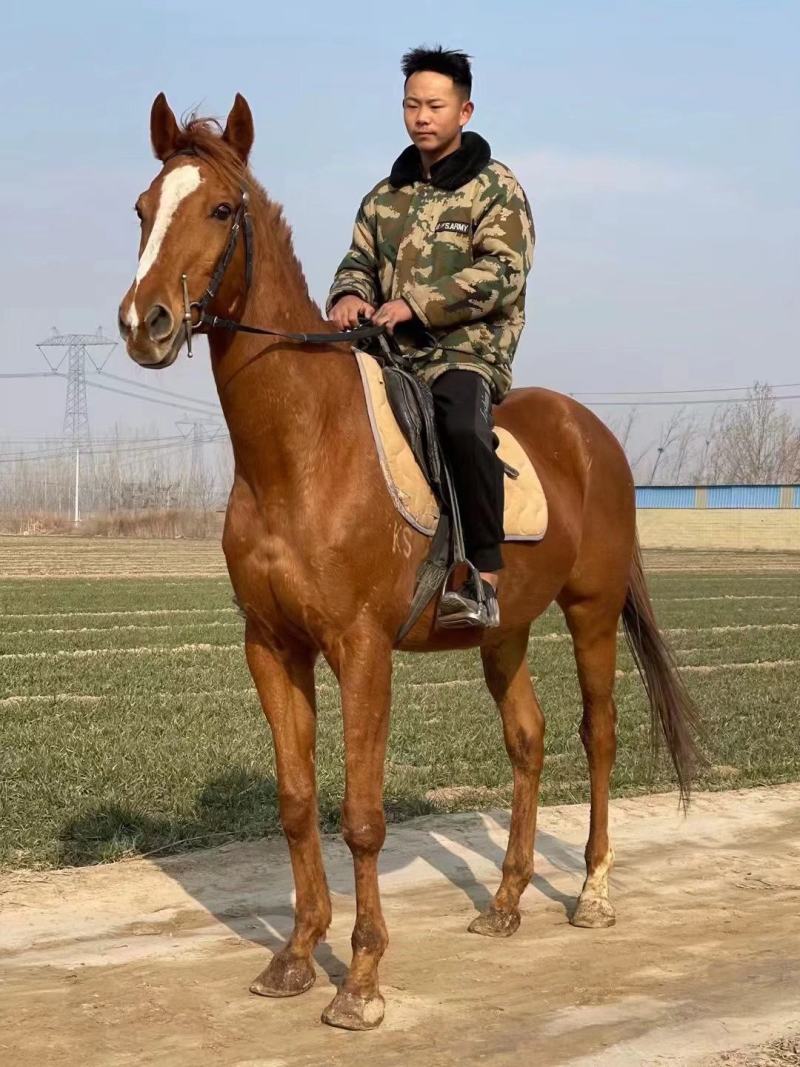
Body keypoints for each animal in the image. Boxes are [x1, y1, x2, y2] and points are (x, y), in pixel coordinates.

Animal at [118, 92, 699, 1031]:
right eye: (142, 208)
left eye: (220, 209)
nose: (147, 324)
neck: (303, 449)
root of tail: (592, 433)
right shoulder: (271, 647)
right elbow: (295, 802)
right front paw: (294, 957)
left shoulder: (361, 651)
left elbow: (360, 814)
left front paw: (359, 981)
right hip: (504, 631)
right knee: (528, 739)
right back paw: (504, 903)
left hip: (592, 612)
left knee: (599, 734)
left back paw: (593, 893)